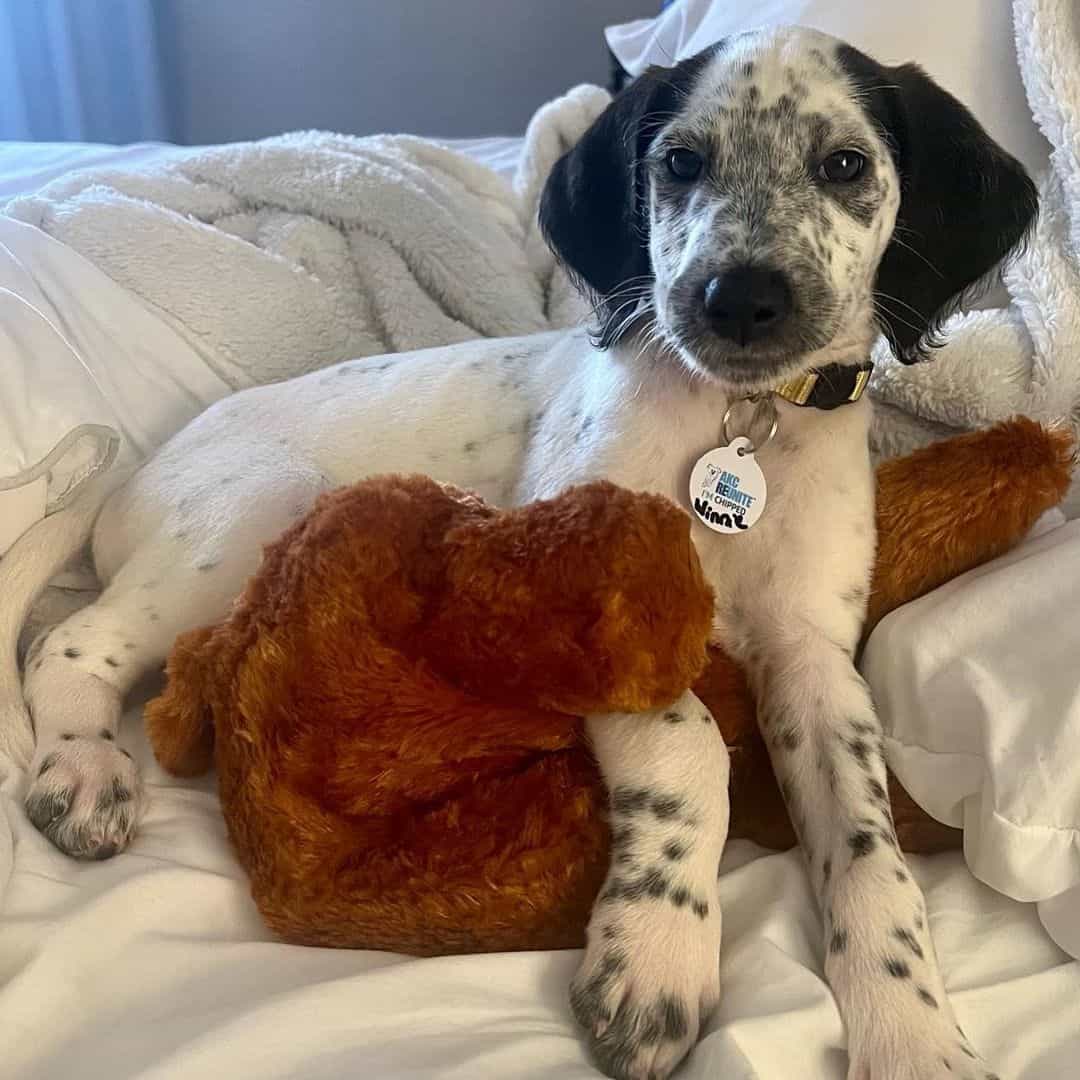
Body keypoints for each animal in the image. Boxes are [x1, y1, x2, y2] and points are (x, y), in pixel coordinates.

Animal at [0, 23, 1032, 1080]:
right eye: (679, 163)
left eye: (845, 166)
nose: (739, 298)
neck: (740, 421)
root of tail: (131, 484)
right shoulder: (586, 602)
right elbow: (690, 743)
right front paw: (656, 948)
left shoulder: (814, 659)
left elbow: (869, 845)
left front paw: (910, 1025)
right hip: (253, 507)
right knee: (64, 644)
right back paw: (82, 768)